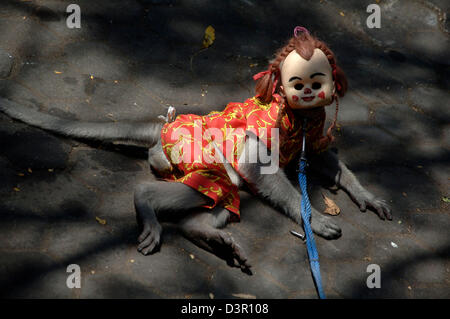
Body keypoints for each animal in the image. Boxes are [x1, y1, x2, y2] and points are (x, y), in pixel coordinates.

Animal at [0, 31, 390, 274]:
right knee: (206, 184)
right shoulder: (270, 123)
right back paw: (147, 202)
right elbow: (256, 165)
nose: (307, 91)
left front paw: (365, 196)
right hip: (191, 152)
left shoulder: (313, 126)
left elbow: (322, 156)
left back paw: (203, 233)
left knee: (222, 195)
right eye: (297, 81)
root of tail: (165, 128)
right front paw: (314, 219)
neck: (300, 117)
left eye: (317, 80)